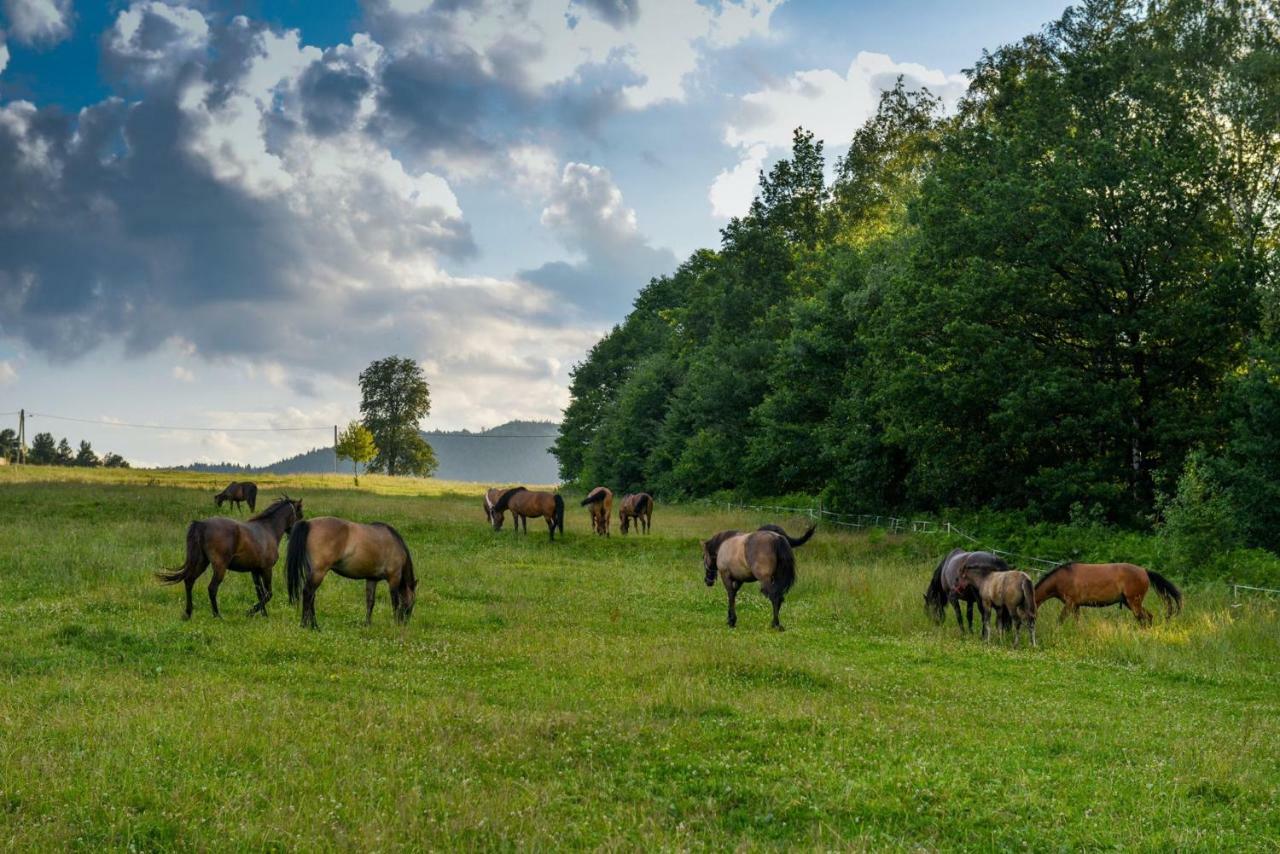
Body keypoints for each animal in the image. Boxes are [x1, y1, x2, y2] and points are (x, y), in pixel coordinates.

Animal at [155, 494, 302, 622]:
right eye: (300, 513)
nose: (296, 532)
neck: (268, 530)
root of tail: (202, 524)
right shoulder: (266, 569)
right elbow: (268, 594)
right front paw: (250, 612)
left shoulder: (254, 571)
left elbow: (260, 593)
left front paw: (263, 615)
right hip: (219, 567)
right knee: (212, 588)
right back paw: (217, 615)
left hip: (201, 562)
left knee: (189, 581)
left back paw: (188, 613)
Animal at [288, 514, 417, 627]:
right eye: (412, 603)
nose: (405, 623)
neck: (396, 544)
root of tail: (308, 523)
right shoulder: (394, 578)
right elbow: (395, 603)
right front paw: (395, 624)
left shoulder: (372, 579)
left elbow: (370, 602)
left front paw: (367, 624)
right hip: (318, 573)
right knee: (307, 593)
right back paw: (305, 624)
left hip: (312, 572)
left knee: (312, 597)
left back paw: (314, 625)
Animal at [1029, 560, 1177, 627]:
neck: (1062, 578)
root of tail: (1144, 571)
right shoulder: (1076, 606)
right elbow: (1078, 622)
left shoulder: (1070, 604)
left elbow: (1060, 620)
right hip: (1131, 603)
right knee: (1148, 617)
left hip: (1134, 603)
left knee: (1144, 618)